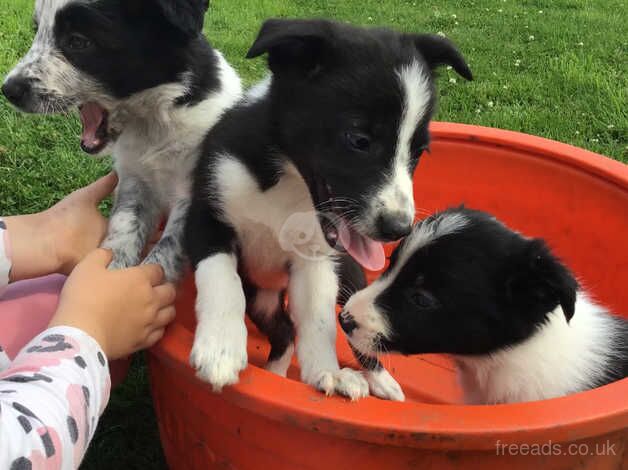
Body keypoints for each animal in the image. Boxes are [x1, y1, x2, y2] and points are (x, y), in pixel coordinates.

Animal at [1, 0, 242, 280]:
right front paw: (113, 273)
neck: (153, 122)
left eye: (78, 41)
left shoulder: (196, 190)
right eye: (37, 30)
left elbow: (167, 249)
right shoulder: (134, 180)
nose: (8, 90)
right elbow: (124, 227)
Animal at [185, 20, 472, 398]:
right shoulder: (205, 215)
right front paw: (221, 348)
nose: (398, 228)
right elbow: (221, 278)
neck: (287, 183)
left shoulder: (316, 258)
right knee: (284, 332)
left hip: (349, 277)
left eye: (419, 151)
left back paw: (381, 380)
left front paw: (327, 372)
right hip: (263, 297)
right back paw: (276, 373)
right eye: (359, 140)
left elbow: (318, 320)